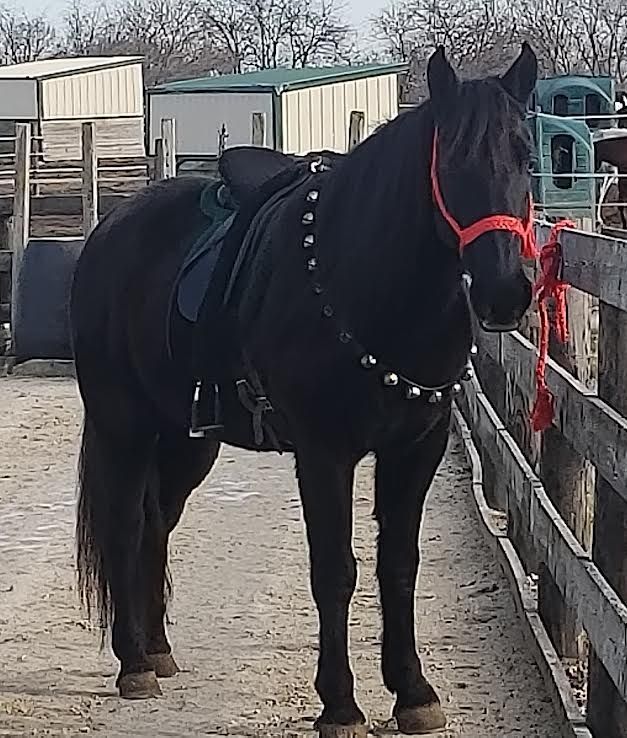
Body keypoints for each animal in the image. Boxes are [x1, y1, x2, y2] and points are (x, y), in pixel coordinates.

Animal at [70, 43, 538, 736]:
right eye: (452, 156)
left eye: (527, 154)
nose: (505, 291)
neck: (367, 282)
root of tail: (108, 232)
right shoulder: (324, 455)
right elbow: (335, 571)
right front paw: (339, 703)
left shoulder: (414, 450)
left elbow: (398, 566)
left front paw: (413, 692)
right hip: (121, 425)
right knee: (127, 524)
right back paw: (132, 663)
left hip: (186, 438)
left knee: (156, 522)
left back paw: (157, 650)